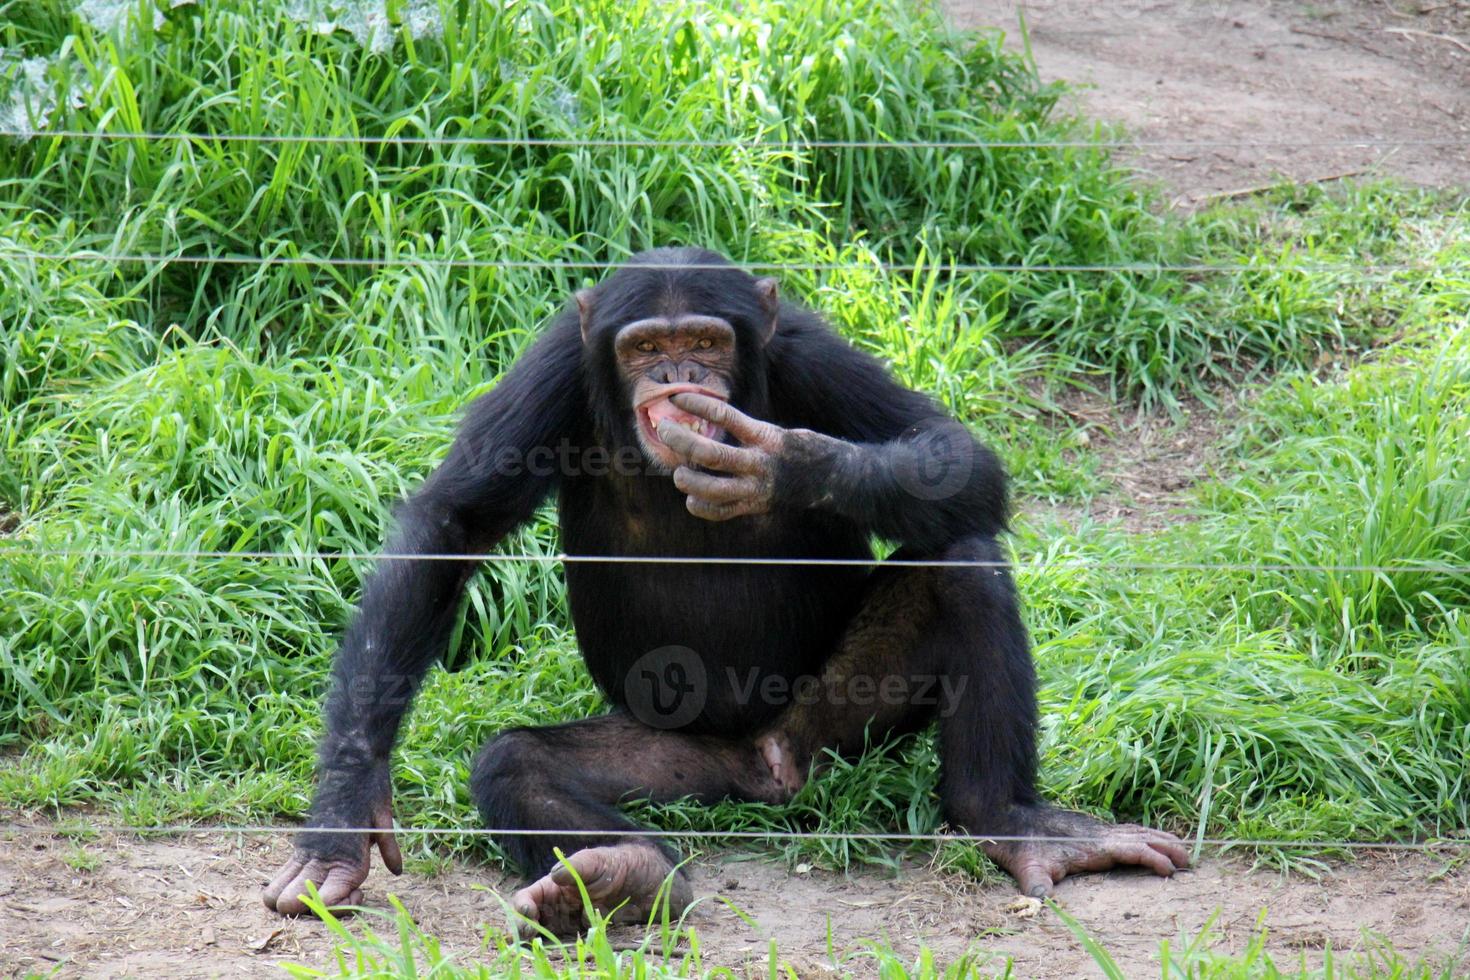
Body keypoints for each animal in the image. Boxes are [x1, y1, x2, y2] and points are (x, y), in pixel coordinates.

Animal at [258, 246, 1187, 934]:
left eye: (706, 343)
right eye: (641, 348)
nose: (678, 375)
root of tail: (765, 770)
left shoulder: (806, 347)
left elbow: (955, 455)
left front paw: (782, 464)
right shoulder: (555, 362)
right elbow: (455, 524)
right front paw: (342, 819)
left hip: (844, 724)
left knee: (961, 561)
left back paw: (1017, 820)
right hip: (675, 758)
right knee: (517, 762)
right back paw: (623, 877)